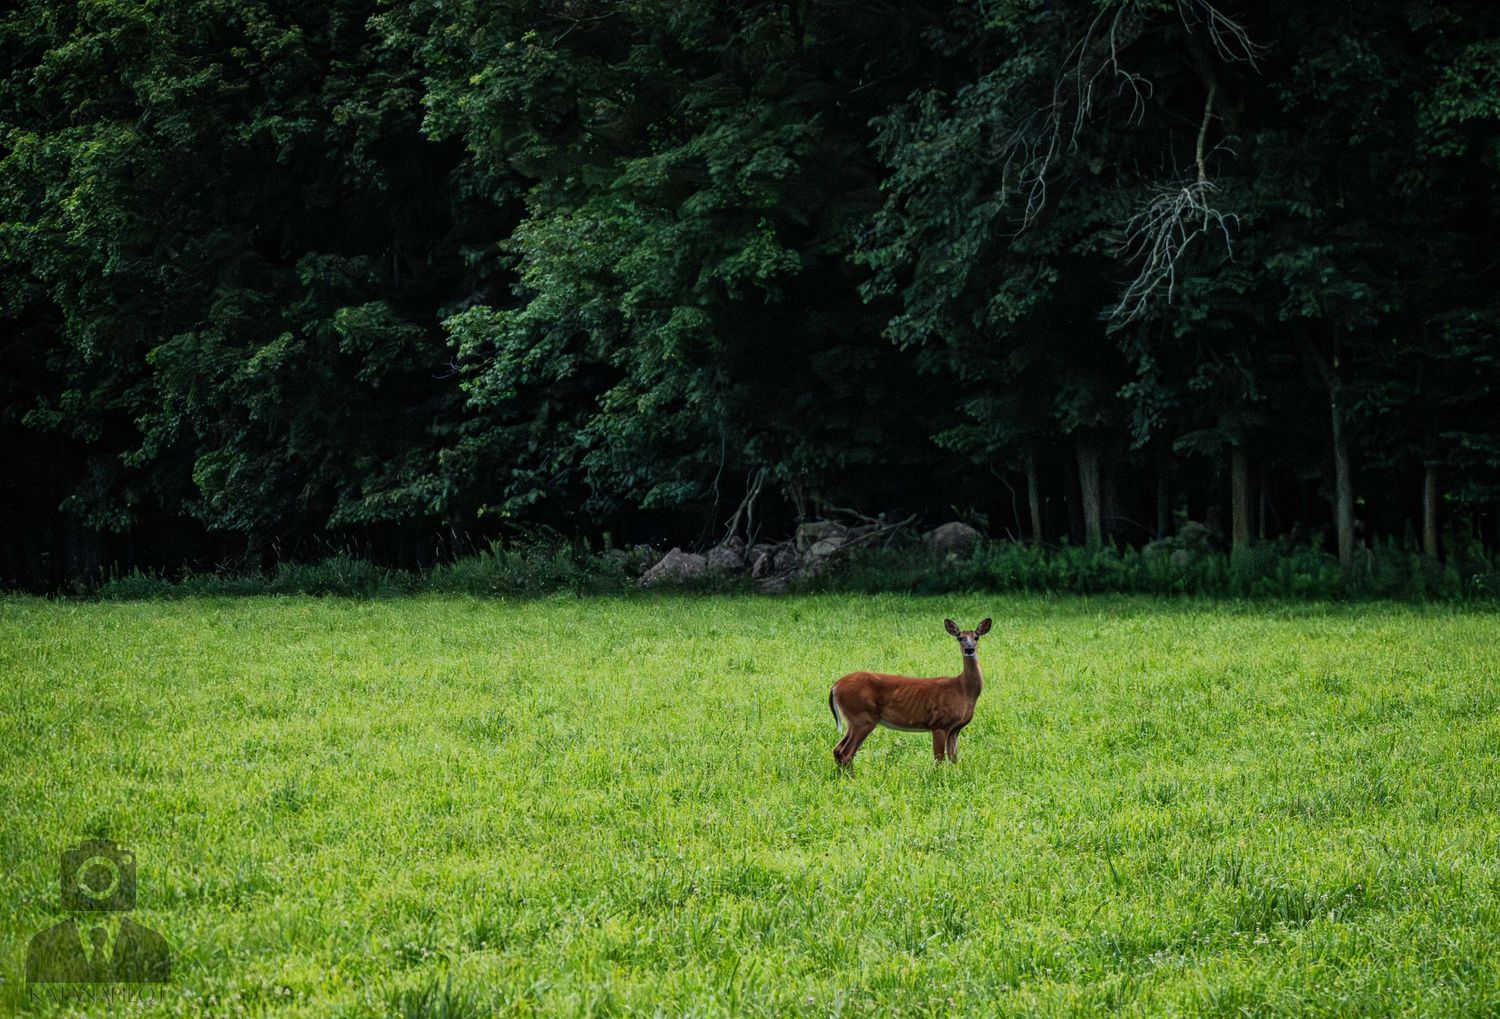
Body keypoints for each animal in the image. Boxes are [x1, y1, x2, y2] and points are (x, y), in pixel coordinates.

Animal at [828, 618, 991, 768]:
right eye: (960, 637)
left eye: (976, 637)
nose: (969, 649)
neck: (963, 689)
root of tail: (836, 686)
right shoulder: (939, 724)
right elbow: (939, 760)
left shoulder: (955, 729)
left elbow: (953, 760)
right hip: (862, 716)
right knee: (846, 753)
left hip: (855, 720)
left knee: (837, 750)